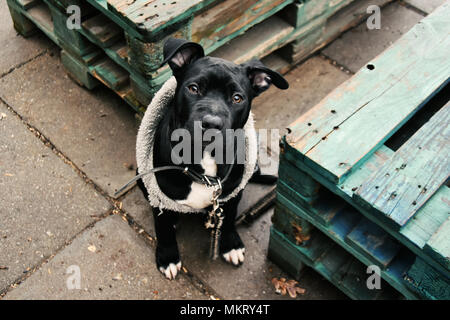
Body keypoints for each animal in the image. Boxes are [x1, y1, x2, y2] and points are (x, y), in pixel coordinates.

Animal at [135, 37, 288, 278]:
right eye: (193, 88)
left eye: (237, 98)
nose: (212, 123)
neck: (205, 160)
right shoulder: (157, 195)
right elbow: (163, 227)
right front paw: (168, 256)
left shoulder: (231, 194)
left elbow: (229, 218)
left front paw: (230, 243)